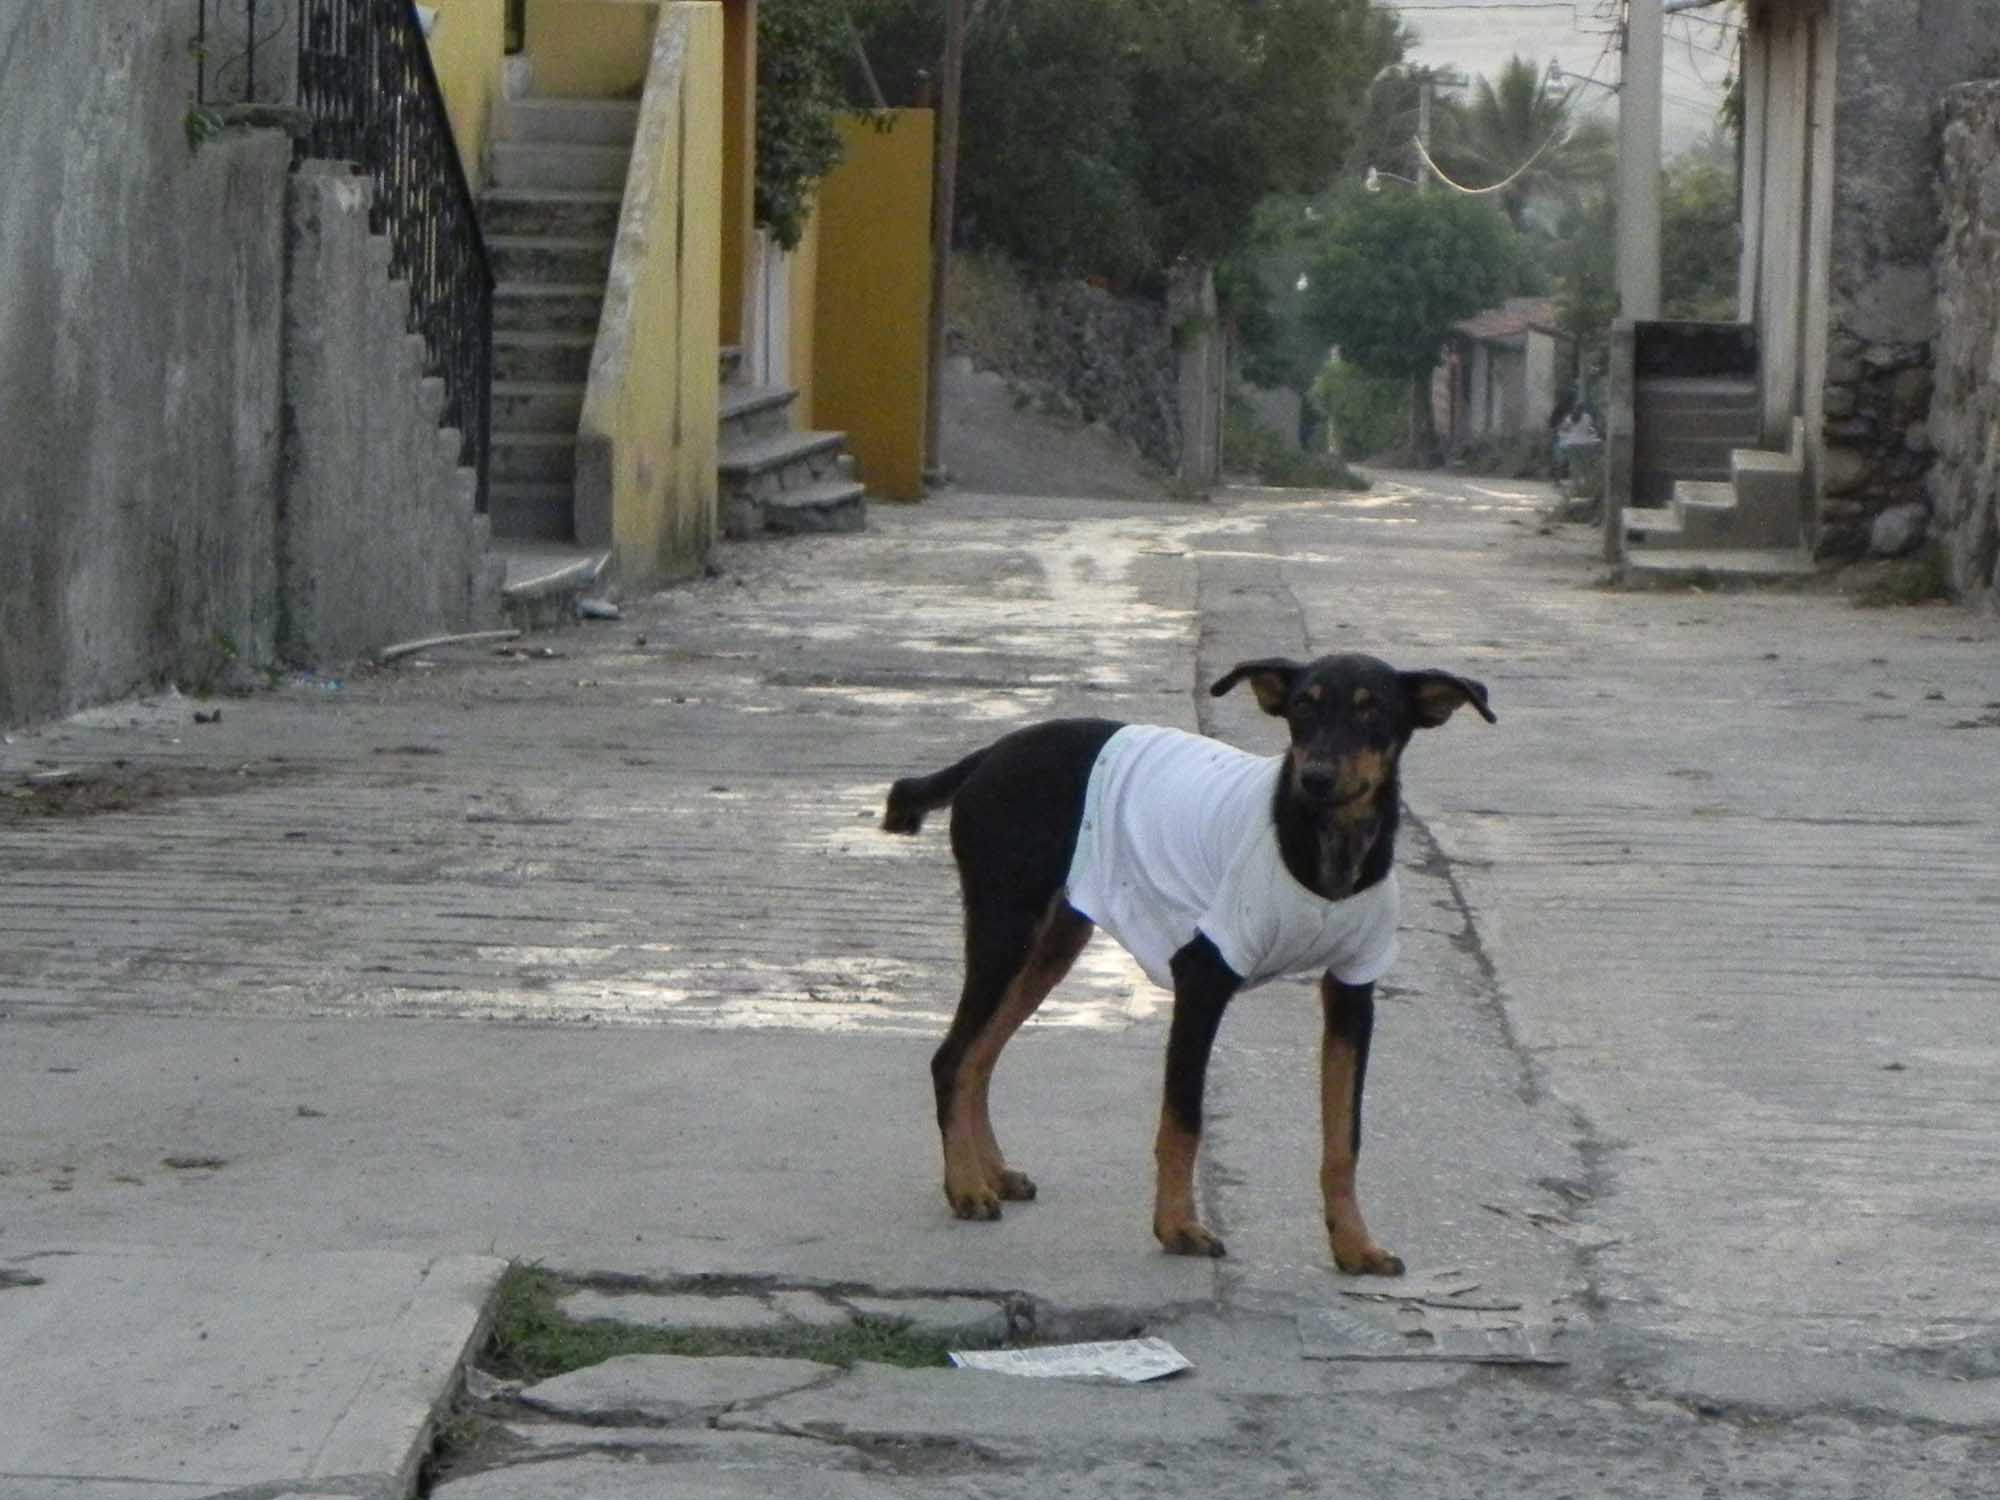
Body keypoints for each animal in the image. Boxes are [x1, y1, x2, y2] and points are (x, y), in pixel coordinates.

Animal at [884, 652, 1496, 1272]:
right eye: (1303, 705)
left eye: (1374, 712)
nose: (1317, 777)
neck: (1326, 845)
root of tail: (987, 756)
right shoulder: (1203, 977)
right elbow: (1183, 1119)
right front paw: (1177, 1226)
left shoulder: (1353, 991)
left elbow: (1344, 1138)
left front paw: (1354, 1244)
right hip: (1005, 930)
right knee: (953, 1057)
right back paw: (965, 1187)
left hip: (1051, 944)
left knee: (980, 1058)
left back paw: (992, 1172)